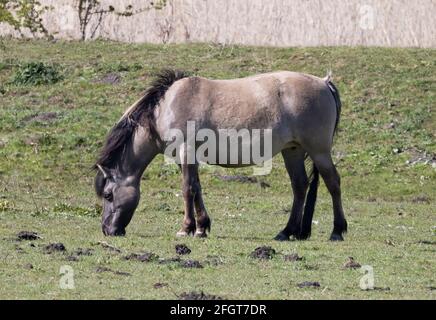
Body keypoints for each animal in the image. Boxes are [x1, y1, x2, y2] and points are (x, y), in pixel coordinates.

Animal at [94, 69, 348, 240]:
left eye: (108, 195)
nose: (107, 230)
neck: (167, 107)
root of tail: (324, 83)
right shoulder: (187, 158)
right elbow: (196, 188)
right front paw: (201, 227)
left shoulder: (186, 152)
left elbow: (187, 189)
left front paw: (186, 228)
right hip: (293, 151)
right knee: (300, 186)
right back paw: (286, 232)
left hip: (319, 151)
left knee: (333, 183)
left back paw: (337, 230)